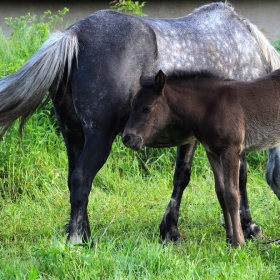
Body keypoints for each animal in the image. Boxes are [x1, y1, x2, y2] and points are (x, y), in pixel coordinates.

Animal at [0, 3, 278, 246]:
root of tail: (75, 34)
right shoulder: (231, 140)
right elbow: (240, 179)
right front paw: (250, 228)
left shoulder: (194, 137)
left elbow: (182, 176)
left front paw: (170, 231)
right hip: (99, 137)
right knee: (81, 178)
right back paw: (77, 241)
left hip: (73, 134)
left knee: (73, 180)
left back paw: (85, 236)